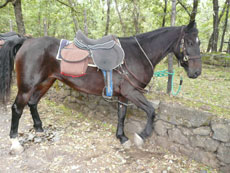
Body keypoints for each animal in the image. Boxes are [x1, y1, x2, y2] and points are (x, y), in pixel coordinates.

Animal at [0, 21, 201, 153]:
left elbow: (122, 114)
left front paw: (122, 137)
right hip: (27, 86)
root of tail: (26, 41)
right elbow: (151, 111)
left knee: (33, 103)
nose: (197, 72)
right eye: (190, 42)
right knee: (17, 108)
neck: (137, 54)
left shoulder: (124, 94)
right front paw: (141, 136)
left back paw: (40, 129)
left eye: (199, 42)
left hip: (46, 82)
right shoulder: (132, 92)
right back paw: (15, 143)